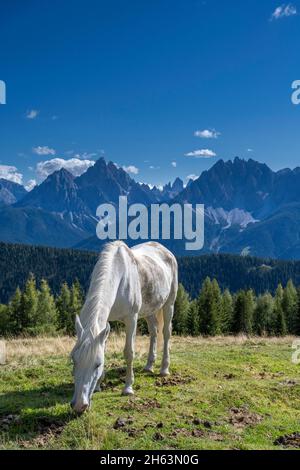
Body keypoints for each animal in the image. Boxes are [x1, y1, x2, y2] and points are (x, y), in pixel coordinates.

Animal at [70, 241, 178, 414]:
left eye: (97, 364)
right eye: (74, 360)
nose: (80, 405)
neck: (118, 276)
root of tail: (164, 249)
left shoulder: (131, 319)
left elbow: (129, 352)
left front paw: (128, 388)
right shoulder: (106, 322)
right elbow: (103, 348)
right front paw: (99, 386)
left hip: (169, 304)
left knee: (166, 333)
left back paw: (164, 370)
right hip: (149, 309)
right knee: (154, 331)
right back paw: (149, 366)